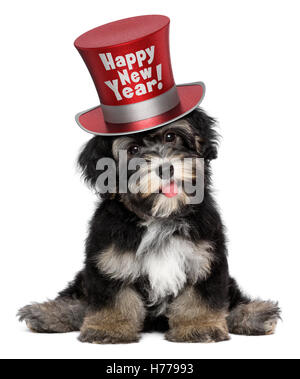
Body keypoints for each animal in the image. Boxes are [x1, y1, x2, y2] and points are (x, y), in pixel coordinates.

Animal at [18, 107, 282, 344]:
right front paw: (109, 328)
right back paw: (46, 314)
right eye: (133, 150)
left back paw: (255, 315)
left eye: (171, 136)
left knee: (232, 298)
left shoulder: (205, 257)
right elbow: (113, 297)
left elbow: (200, 297)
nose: (165, 168)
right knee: (79, 297)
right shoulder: (109, 260)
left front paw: (199, 327)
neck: (160, 217)